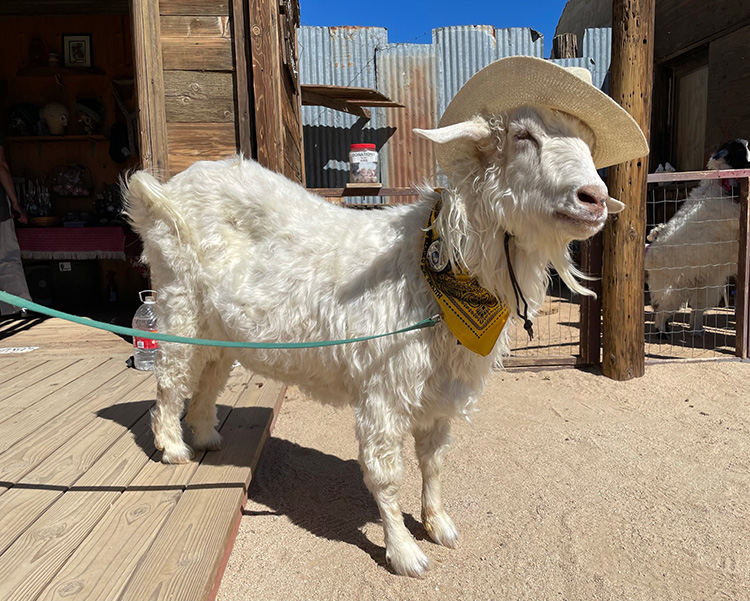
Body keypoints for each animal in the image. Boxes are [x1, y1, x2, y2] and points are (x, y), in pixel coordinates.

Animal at [126, 59, 644, 576]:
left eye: (588, 143)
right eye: (523, 135)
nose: (594, 198)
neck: (437, 272)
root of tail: (165, 192)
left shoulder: (437, 390)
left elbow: (434, 462)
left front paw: (437, 524)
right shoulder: (384, 388)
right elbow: (385, 474)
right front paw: (404, 552)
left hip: (218, 325)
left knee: (209, 375)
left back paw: (207, 435)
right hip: (178, 299)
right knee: (170, 376)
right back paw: (172, 447)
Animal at [648, 139, 750, 336]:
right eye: (740, 151)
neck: (721, 186)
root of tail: (651, 251)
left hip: (703, 281)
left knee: (697, 307)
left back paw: (696, 330)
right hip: (671, 287)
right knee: (661, 309)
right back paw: (662, 332)